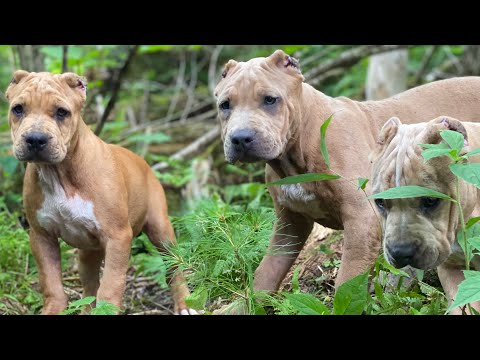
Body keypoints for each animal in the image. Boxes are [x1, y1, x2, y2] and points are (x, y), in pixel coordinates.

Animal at [5, 71, 197, 316]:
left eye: (62, 112)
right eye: (18, 109)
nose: (35, 139)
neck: (60, 173)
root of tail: (142, 161)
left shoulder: (118, 236)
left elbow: (110, 286)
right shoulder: (41, 236)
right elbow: (51, 282)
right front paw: (53, 309)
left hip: (161, 229)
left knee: (174, 267)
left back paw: (184, 304)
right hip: (88, 251)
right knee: (89, 286)